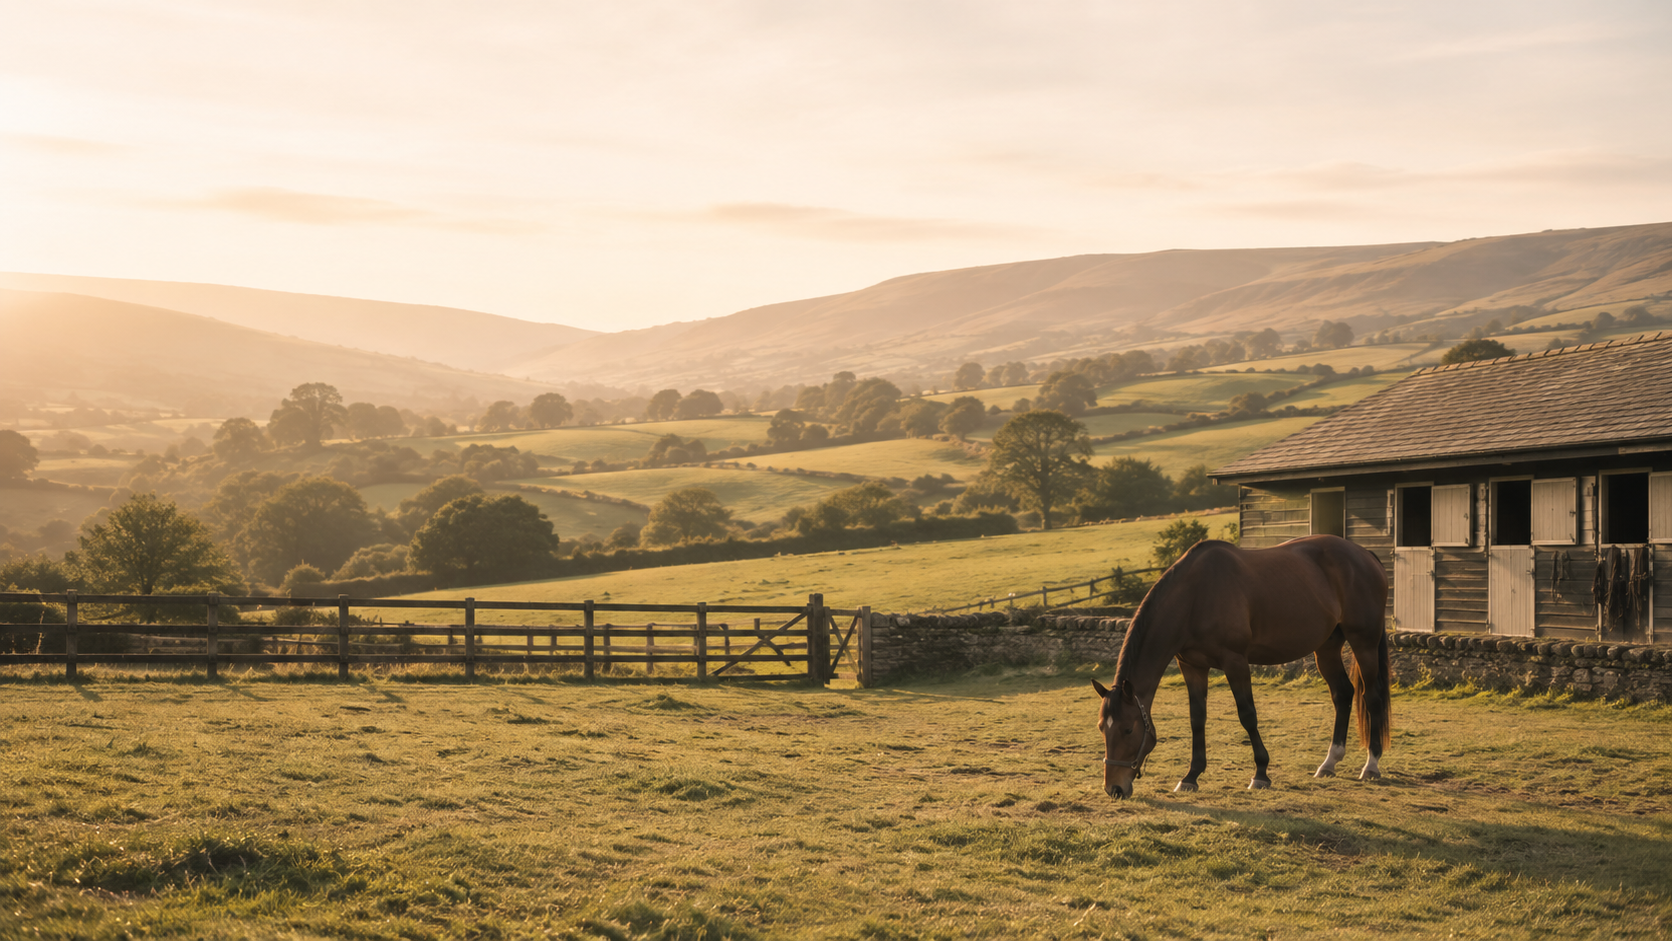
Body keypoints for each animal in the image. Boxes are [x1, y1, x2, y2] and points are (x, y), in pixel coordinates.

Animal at [1093, 534, 1391, 799]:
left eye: (1128, 729)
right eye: (1101, 728)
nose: (1114, 789)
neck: (1195, 596)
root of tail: (1365, 554)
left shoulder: (1235, 661)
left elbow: (1247, 715)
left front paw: (1260, 774)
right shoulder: (1192, 666)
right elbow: (1197, 719)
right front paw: (1191, 776)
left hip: (1364, 642)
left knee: (1372, 697)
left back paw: (1371, 766)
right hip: (1326, 648)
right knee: (1343, 694)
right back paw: (1329, 763)